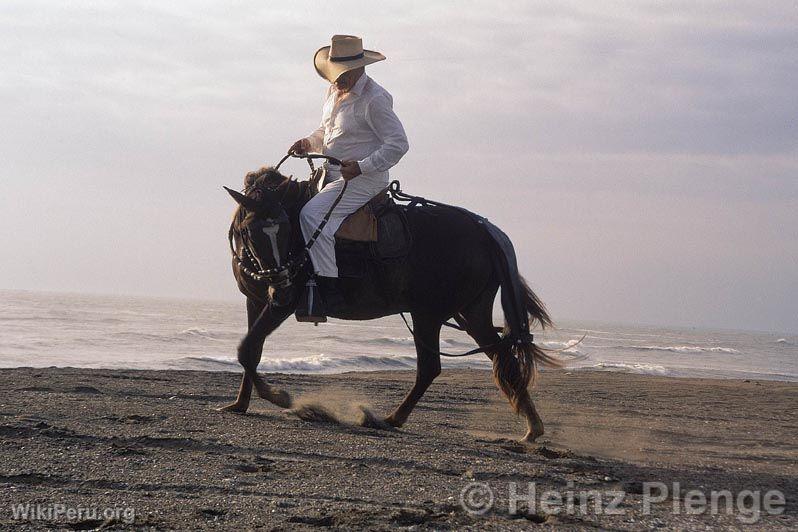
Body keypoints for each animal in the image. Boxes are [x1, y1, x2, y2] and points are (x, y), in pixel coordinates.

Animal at [219, 163, 556, 440]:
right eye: (250, 230)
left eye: (286, 228)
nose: (283, 287)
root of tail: (483, 230)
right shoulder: (256, 301)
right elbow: (252, 351)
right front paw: (240, 403)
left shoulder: (283, 306)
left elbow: (246, 349)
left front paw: (279, 396)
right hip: (471, 313)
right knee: (502, 358)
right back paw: (533, 428)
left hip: (428, 315)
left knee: (430, 368)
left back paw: (390, 418)